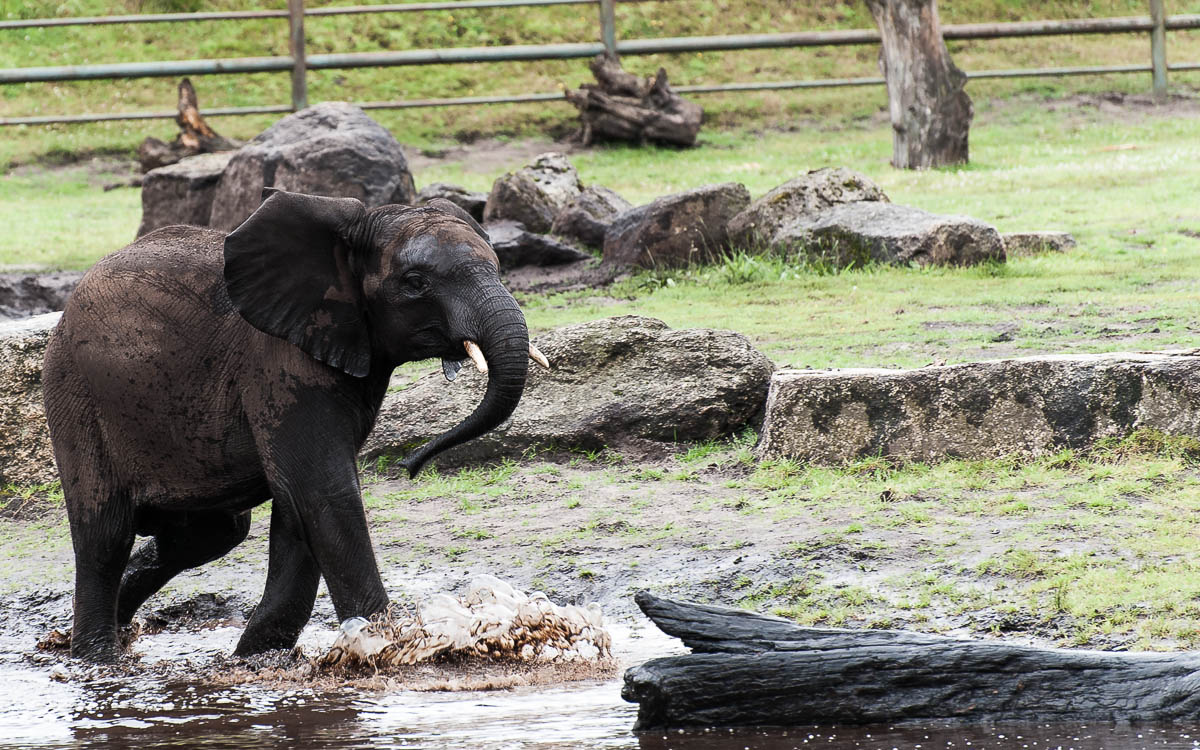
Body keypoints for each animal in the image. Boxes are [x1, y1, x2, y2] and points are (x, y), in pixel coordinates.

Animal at [41, 188, 549, 662]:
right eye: (415, 282)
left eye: (498, 267)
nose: (410, 466)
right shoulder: (281, 362)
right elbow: (324, 490)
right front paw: (387, 647)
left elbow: (298, 505)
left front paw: (259, 654)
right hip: (75, 394)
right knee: (106, 536)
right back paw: (96, 658)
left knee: (209, 534)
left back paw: (112, 632)